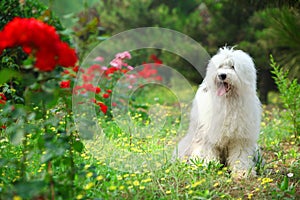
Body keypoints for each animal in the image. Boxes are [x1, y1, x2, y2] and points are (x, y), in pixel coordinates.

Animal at [175, 46, 262, 177]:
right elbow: (207, 152)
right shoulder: (207, 135)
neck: (227, 102)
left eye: (232, 66)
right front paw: (207, 168)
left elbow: (240, 156)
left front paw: (242, 173)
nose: (222, 75)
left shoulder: (240, 138)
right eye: (220, 66)